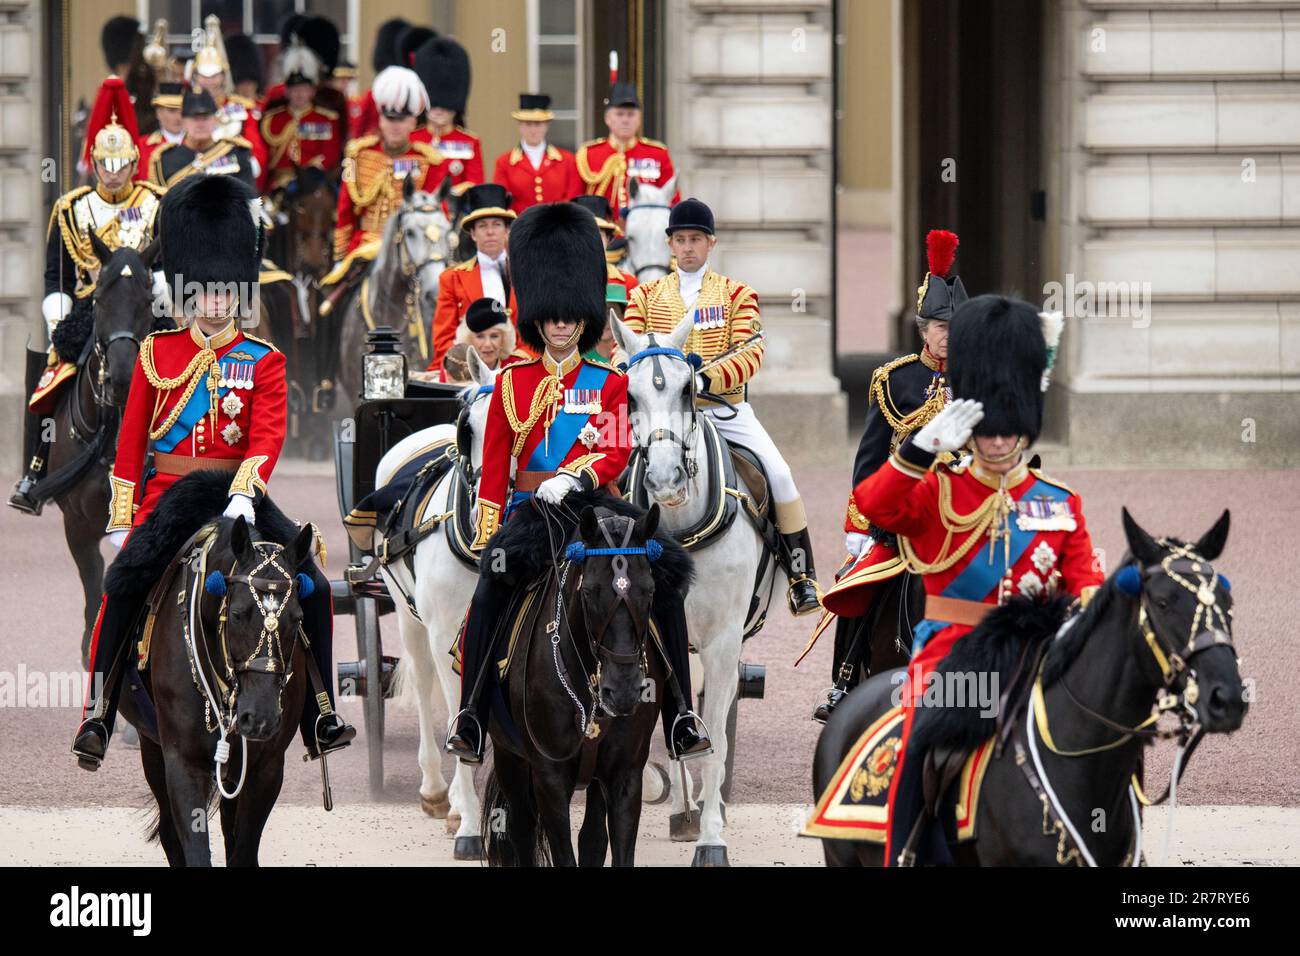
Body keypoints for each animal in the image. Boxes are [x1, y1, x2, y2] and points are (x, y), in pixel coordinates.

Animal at [374, 348, 504, 858]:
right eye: (468, 427)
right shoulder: (446, 632)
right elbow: (455, 713)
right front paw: (465, 818)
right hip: (410, 618)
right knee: (427, 682)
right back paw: (435, 791)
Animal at [486, 502, 691, 868]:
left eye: (650, 590)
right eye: (589, 591)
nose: (623, 691)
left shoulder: (625, 773)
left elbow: (611, 848)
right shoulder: (549, 775)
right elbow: (561, 853)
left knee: (591, 839)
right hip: (509, 757)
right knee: (521, 831)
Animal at [608, 316, 769, 868]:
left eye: (686, 389)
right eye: (629, 395)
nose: (664, 479)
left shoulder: (722, 642)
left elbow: (716, 736)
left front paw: (713, 838)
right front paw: (684, 812)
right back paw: (685, 807)